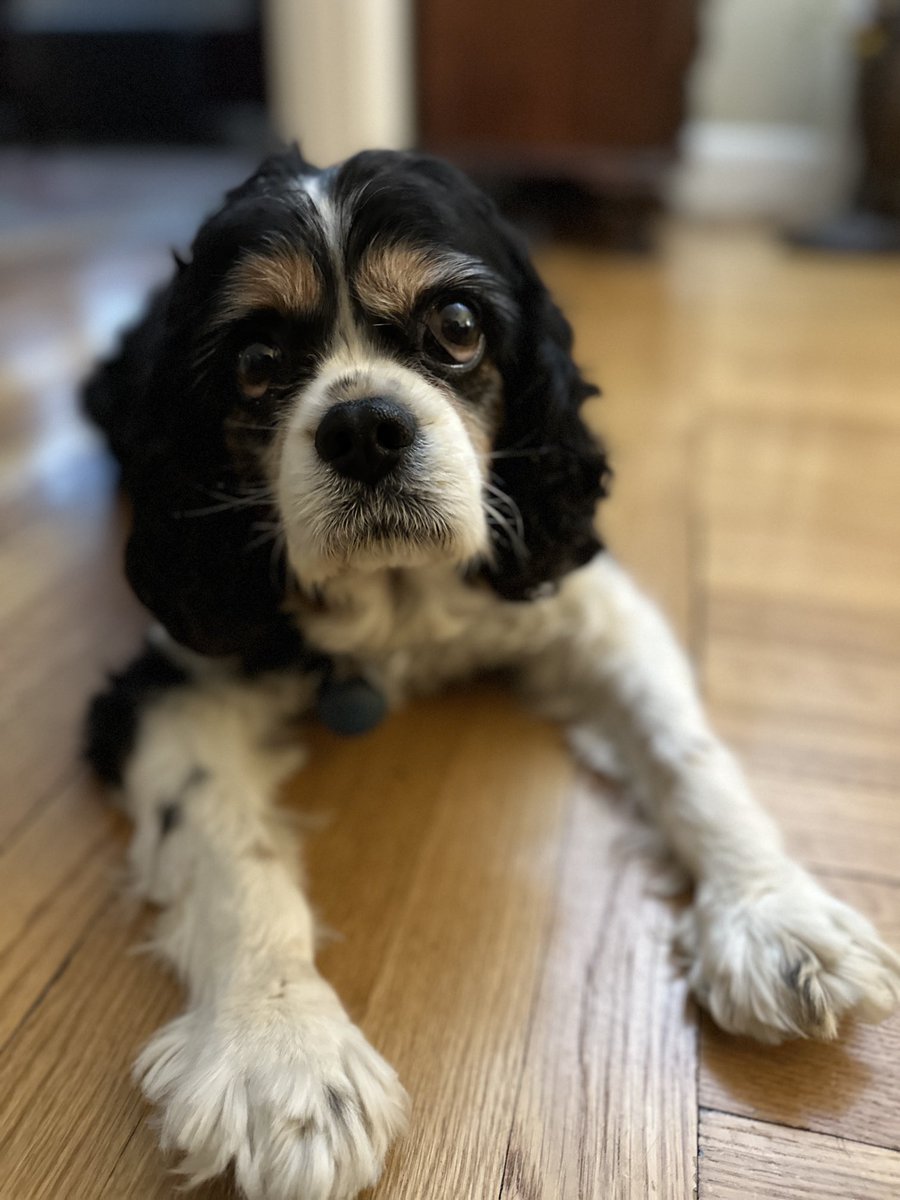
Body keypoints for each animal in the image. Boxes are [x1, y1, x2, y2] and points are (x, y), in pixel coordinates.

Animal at [82, 150, 900, 1200]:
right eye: (256, 362)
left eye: (459, 326)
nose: (364, 428)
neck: (398, 597)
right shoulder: (170, 685)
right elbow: (229, 848)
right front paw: (283, 1055)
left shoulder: (586, 608)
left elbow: (686, 752)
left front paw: (773, 916)